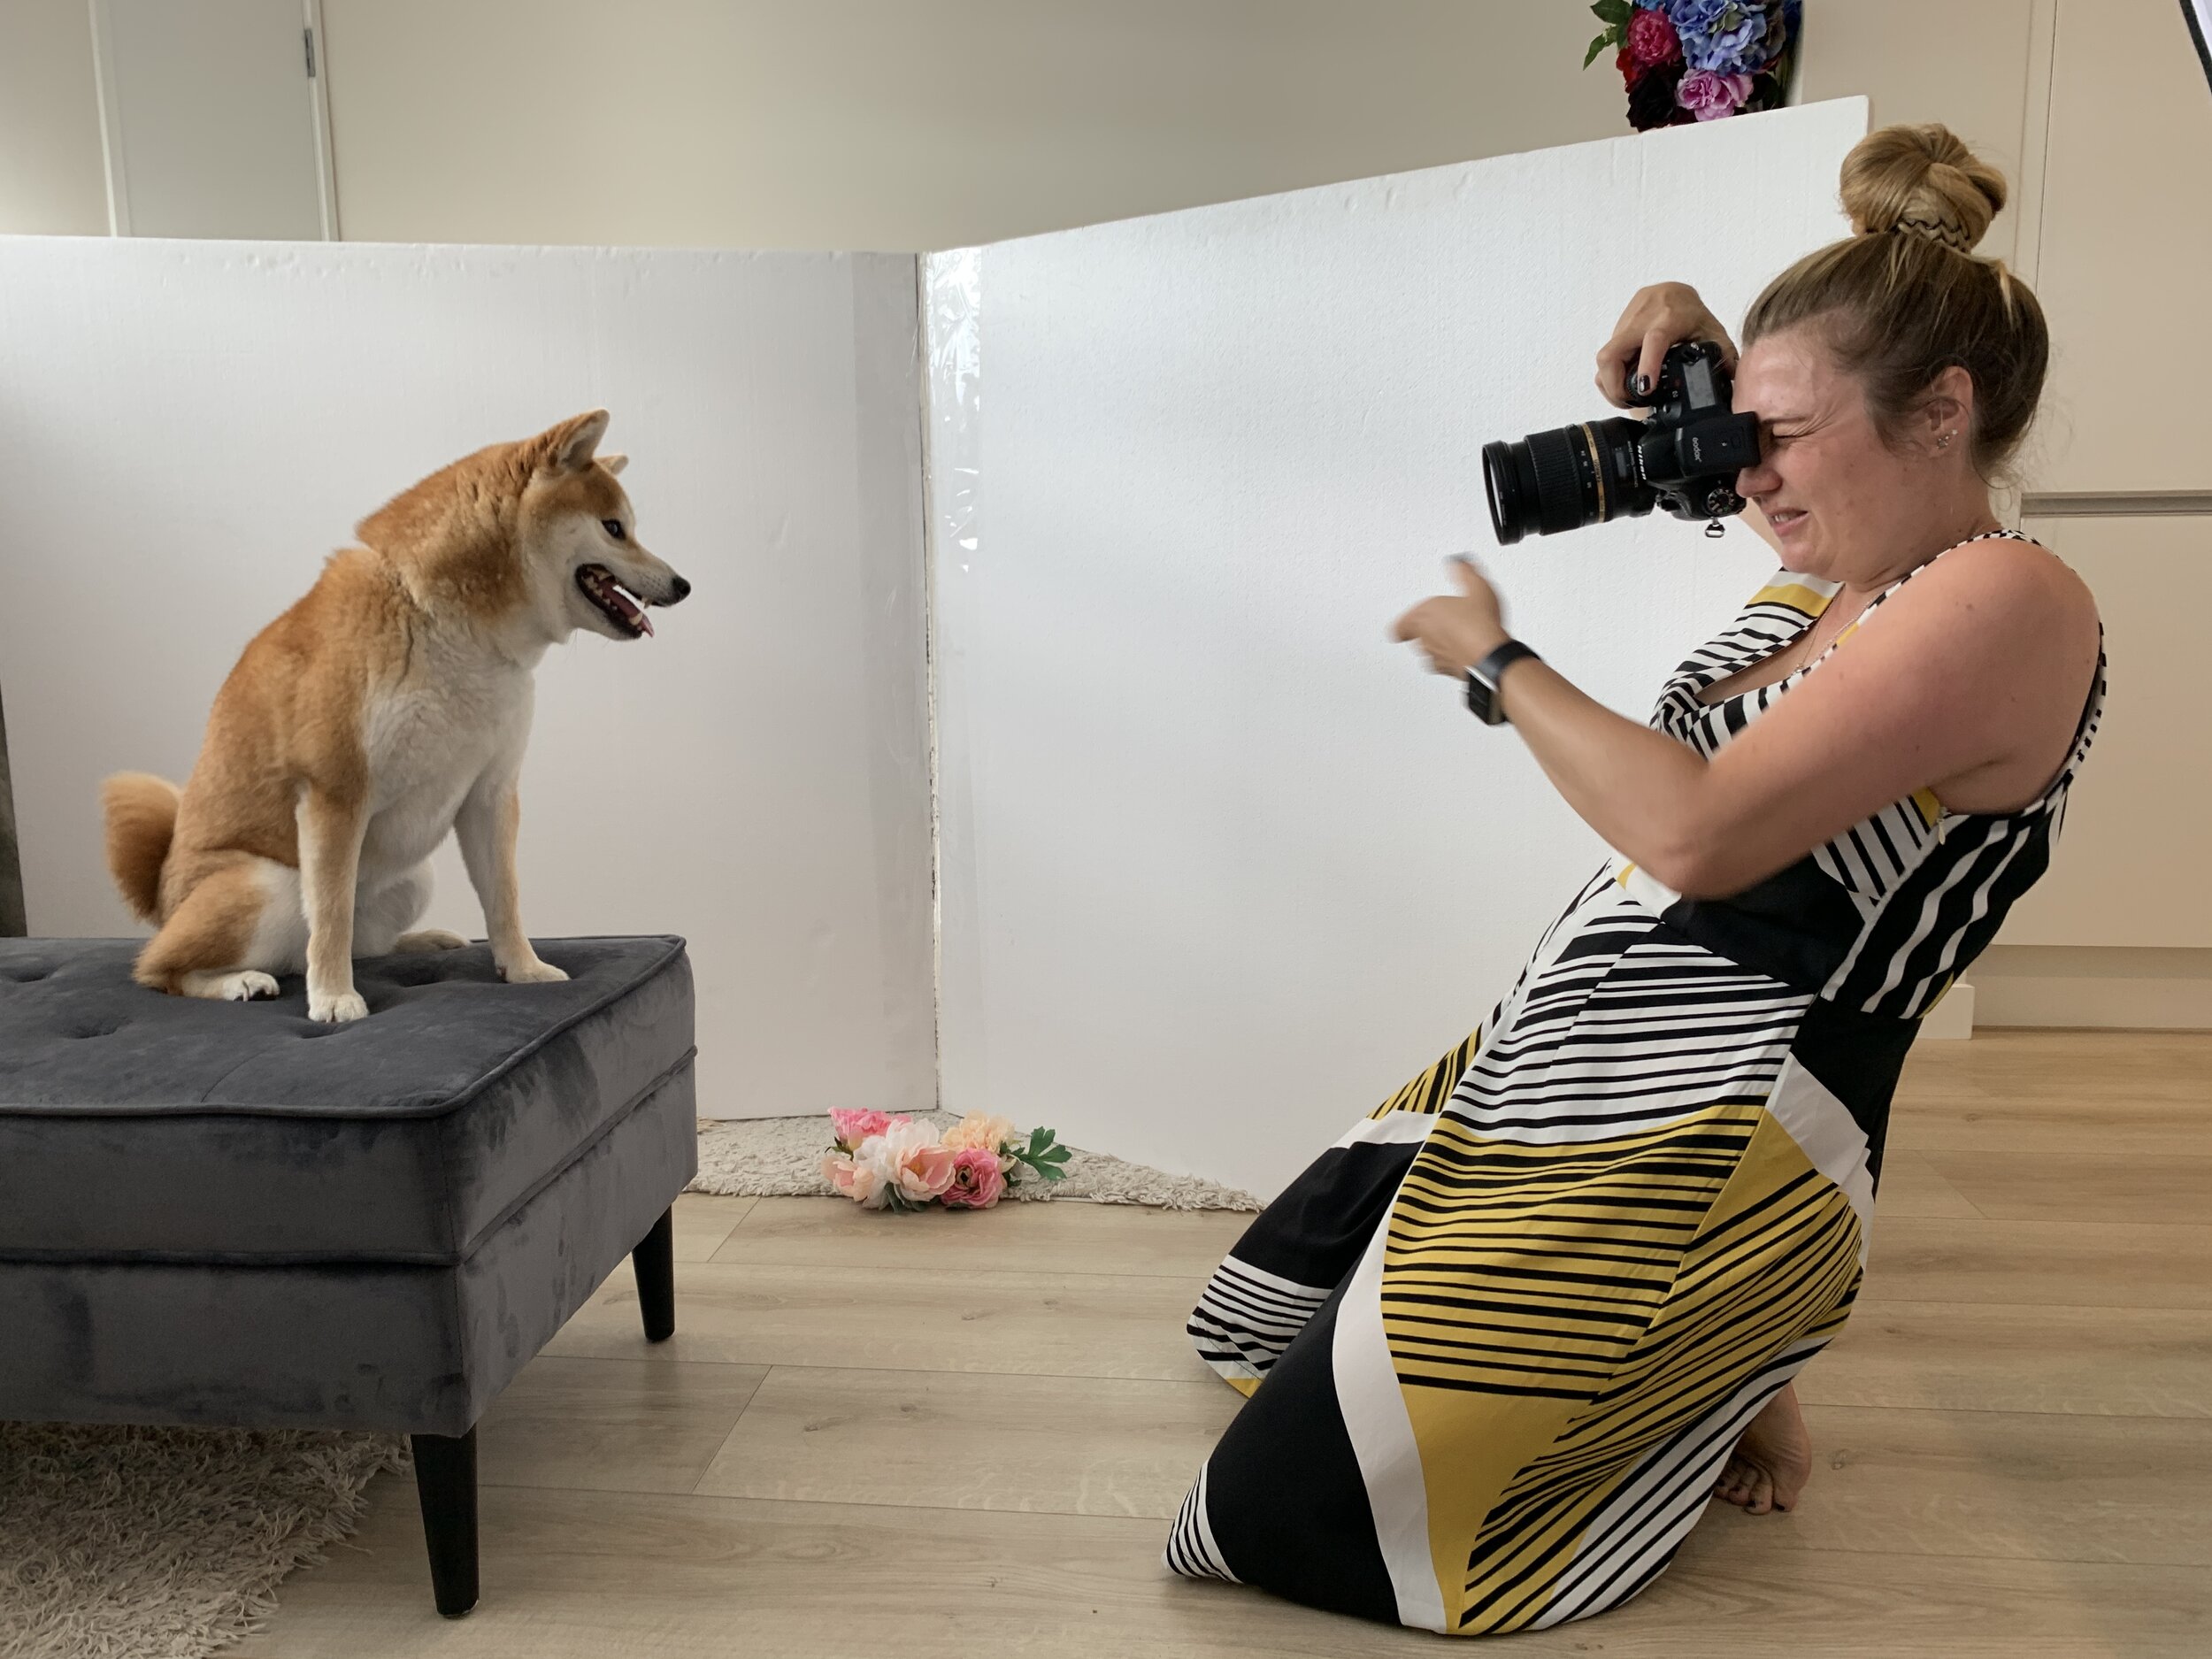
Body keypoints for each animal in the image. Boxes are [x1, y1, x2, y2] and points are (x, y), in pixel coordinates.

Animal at [102, 409, 681, 1022]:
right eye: (614, 528)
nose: (683, 584)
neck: (453, 630)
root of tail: (162, 896)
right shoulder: (336, 793)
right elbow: (331, 915)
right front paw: (334, 997)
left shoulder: (491, 793)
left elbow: (504, 898)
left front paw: (524, 969)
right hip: (266, 885)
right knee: (162, 969)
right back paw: (239, 981)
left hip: (414, 879)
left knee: (359, 945)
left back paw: (421, 941)